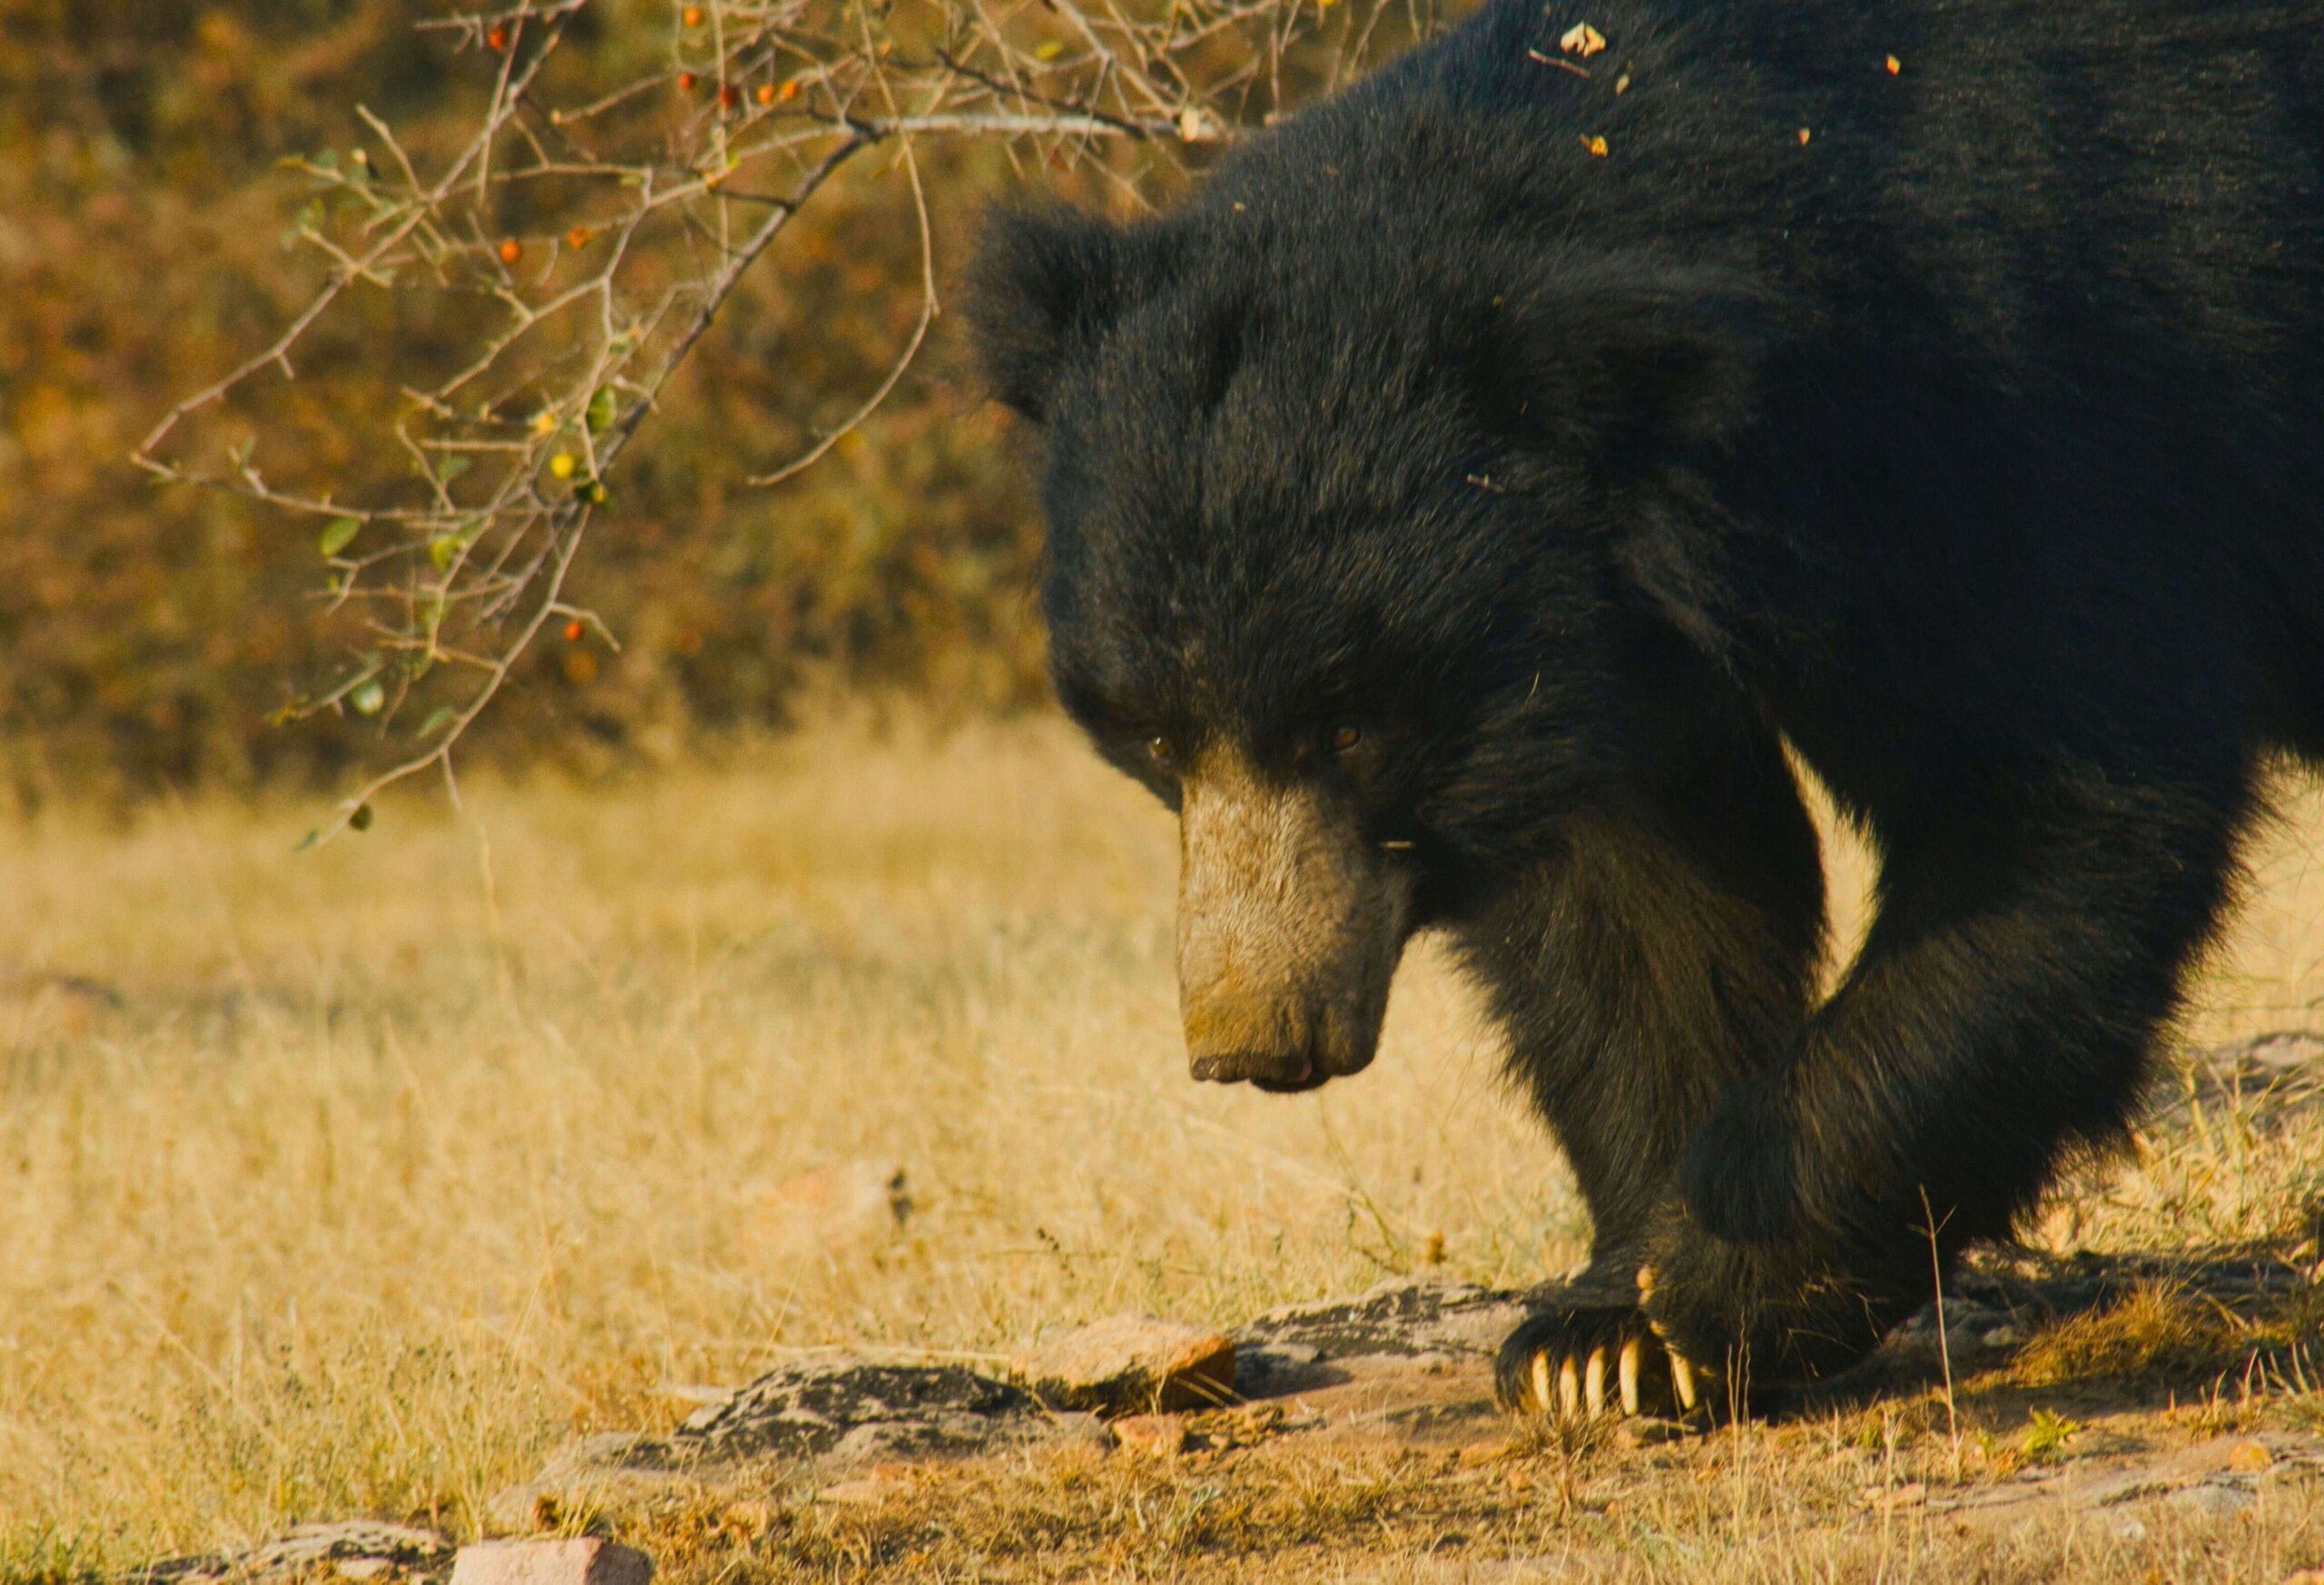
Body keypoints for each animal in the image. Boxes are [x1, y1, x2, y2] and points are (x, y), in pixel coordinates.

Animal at [961, 0, 2324, 1403]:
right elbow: (1641, 917)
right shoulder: (1610, 645)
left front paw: (1710, 1290)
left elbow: (2055, 811)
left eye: (1351, 725)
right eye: (1159, 735)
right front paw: (1605, 1340)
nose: (1256, 1041)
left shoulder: (2027, 420)